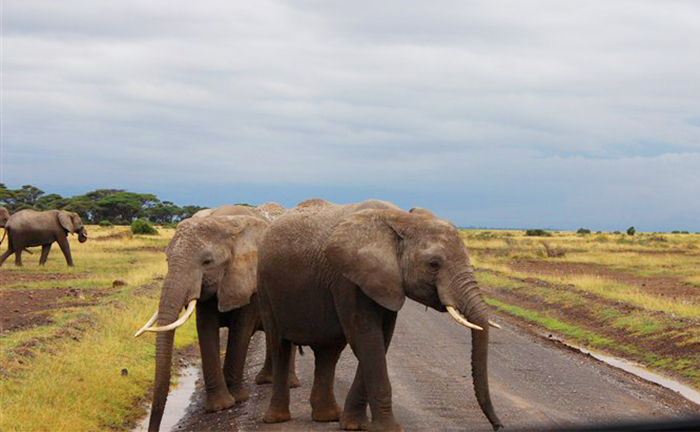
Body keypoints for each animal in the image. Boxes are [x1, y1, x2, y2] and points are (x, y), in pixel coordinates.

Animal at [134, 206, 298, 432]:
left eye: (207, 262)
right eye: (167, 260)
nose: (153, 428)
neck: (224, 221)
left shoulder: (249, 280)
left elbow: (240, 331)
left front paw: (236, 399)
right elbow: (205, 328)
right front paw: (219, 406)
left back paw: (289, 383)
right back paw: (265, 380)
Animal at [258, 202, 504, 432]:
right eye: (433, 264)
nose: (498, 425)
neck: (401, 219)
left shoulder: (385, 281)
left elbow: (379, 342)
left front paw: (354, 425)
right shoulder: (348, 279)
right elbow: (367, 339)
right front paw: (388, 428)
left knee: (328, 353)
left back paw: (326, 418)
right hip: (266, 287)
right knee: (279, 346)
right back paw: (277, 419)